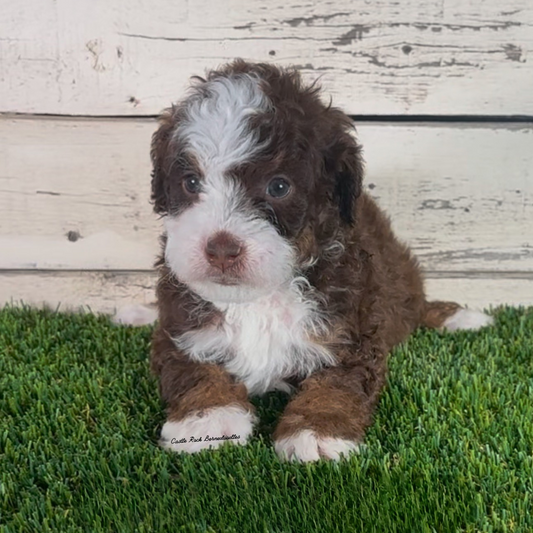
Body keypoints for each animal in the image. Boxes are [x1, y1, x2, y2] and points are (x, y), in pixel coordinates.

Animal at [144, 59, 490, 462]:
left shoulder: (351, 331)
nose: (221, 248)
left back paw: (458, 316)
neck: (261, 296)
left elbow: (335, 383)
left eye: (279, 187)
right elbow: (193, 367)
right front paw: (207, 418)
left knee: (416, 306)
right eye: (191, 182)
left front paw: (317, 430)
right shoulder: (180, 327)